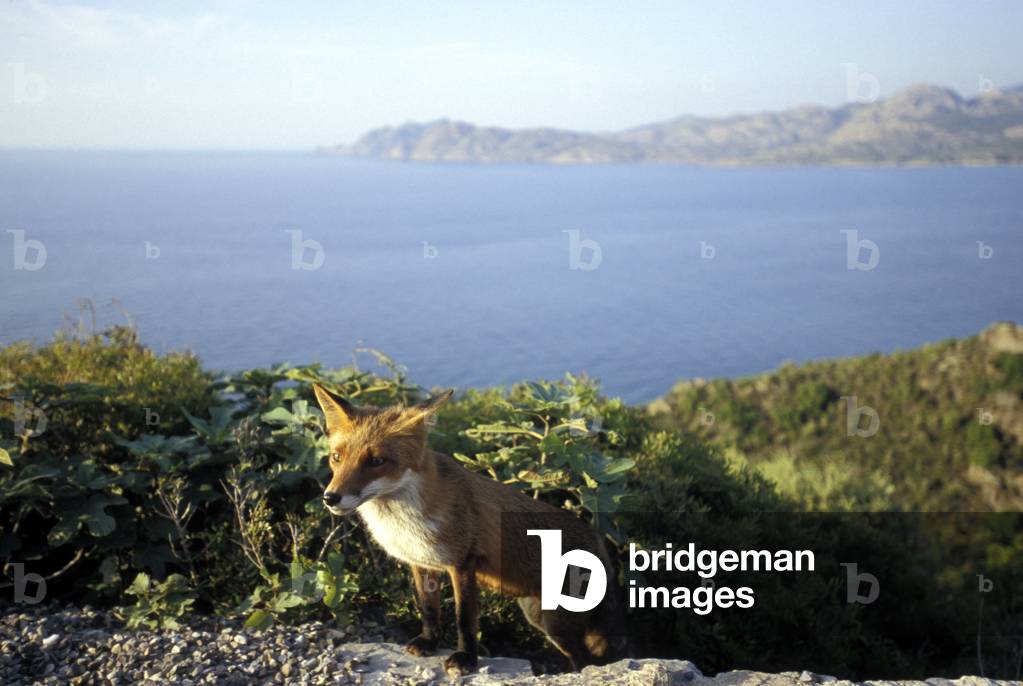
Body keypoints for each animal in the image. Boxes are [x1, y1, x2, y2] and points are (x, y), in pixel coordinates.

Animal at [312, 384, 625, 676]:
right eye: (336, 457)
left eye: (376, 461)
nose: (330, 497)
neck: (405, 523)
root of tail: (599, 544)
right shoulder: (421, 563)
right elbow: (428, 609)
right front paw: (429, 641)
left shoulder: (462, 563)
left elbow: (464, 618)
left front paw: (466, 659)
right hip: (537, 615)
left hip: (556, 624)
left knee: (585, 659)